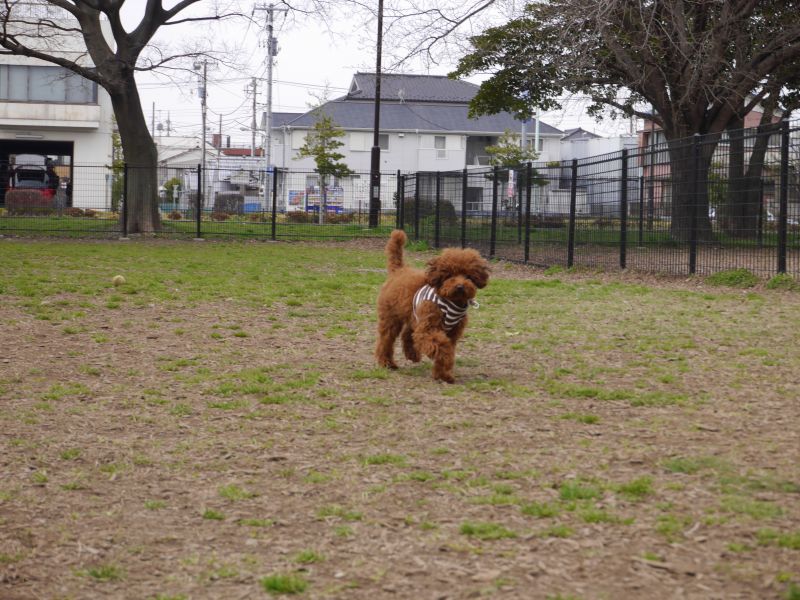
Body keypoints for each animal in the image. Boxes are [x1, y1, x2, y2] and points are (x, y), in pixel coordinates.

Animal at [376, 227, 488, 382]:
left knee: (408, 334)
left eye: (468, 276)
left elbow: (446, 349)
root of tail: (399, 270)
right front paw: (443, 363)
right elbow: (443, 347)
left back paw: (412, 355)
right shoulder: (429, 328)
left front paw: (443, 375)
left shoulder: (452, 333)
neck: (451, 301)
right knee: (386, 340)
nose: (460, 286)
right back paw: (387, 362)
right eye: (449, 275)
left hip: (414, 316)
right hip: (392, 318)